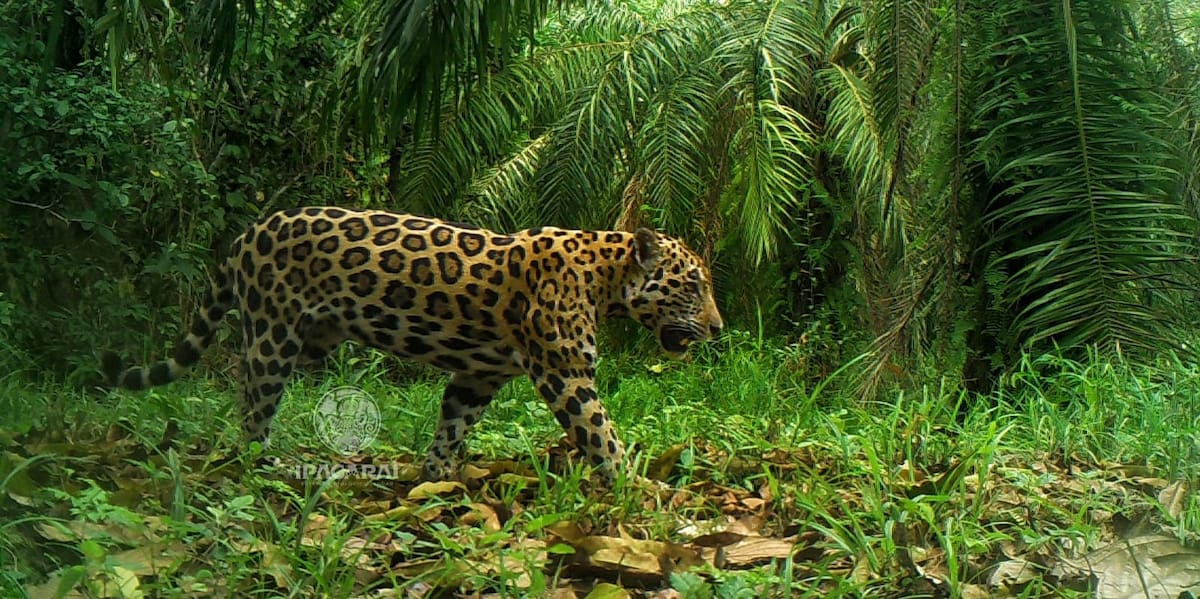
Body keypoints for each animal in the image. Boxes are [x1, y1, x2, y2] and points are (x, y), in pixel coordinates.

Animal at [102, 206, 723, 483]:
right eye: (694, 285)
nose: (718, 328)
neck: (605, 277)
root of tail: (249, 232)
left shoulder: (477, 376)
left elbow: (452, 427)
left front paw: (435, 479)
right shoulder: (565, 374)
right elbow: (602, 436)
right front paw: (638, 490)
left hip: (309, 341)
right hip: (275, 333)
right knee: (253, 390)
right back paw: (256, 459)